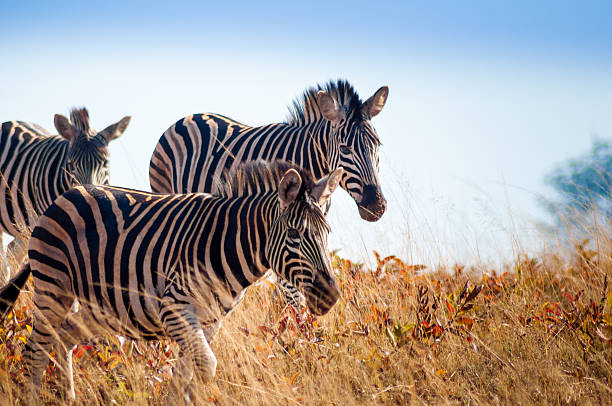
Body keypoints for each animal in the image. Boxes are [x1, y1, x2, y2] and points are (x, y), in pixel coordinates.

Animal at [0, 109, 130, 284]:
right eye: (70, 165)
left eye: (105, 163)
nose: (89, 196)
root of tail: (9, 123)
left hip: (25, 224)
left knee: (12, 252)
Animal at [0, 160, 344, 402]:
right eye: (295, 234)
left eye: (327, 233)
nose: (330, 295)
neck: (226, 244)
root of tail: (69, 193)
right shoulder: (175, 308)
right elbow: (207, 366)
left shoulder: (210, 320)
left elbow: (185, 375)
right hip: (53, 285)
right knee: (36, 350)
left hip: (104, 307)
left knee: (64, 338)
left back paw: (68, 398)